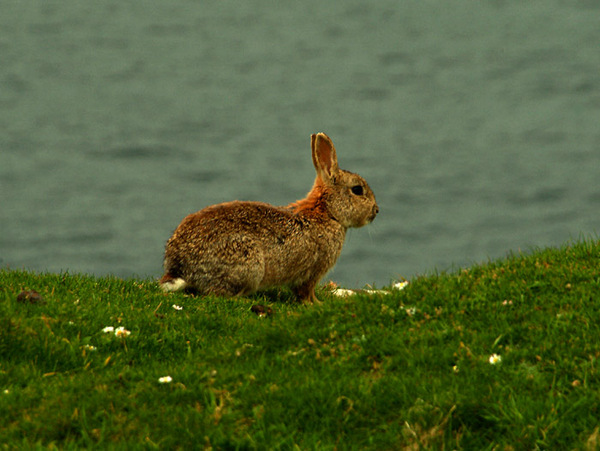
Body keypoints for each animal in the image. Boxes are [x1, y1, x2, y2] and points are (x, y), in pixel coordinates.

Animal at [159, 133, 376, 304]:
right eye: (357, 190)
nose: (376, 211)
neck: (327, 212)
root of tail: (180, 268)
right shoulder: (313, 271)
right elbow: (306, 293)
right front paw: (317, 304)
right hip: (248, 263)